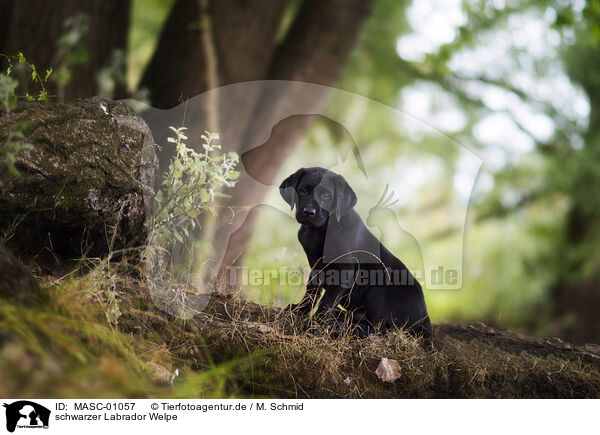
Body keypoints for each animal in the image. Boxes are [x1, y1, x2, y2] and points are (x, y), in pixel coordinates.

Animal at [282, 167, 432, 338]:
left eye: (326, 195)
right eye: (303, 190)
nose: (309, 212)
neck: (320, 230)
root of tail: (425, 319)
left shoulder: (344, 270)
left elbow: (327, 301)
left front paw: (314, 325)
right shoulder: (316, 266)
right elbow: (312, 292)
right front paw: (300, 310)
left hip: (379, 287)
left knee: (380, 329)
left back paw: (342, 327)